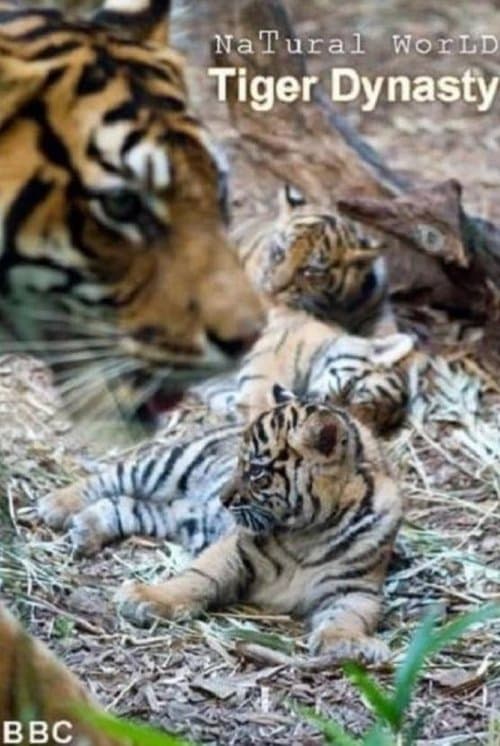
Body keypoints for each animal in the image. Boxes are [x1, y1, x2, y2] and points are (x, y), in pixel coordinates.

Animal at [39, 392, 401, 662]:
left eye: (256, 472)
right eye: (239, 464)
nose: (223, 500)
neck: (310, 531)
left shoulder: (355, 587)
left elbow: (351, 616)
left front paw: (348, 644)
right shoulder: (235, 550)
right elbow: (196, 578)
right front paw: (145, 597)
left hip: (174, 515)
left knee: (126, 505)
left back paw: (87, 528)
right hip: (165, 467)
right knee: (109, 477)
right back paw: (56, 505)